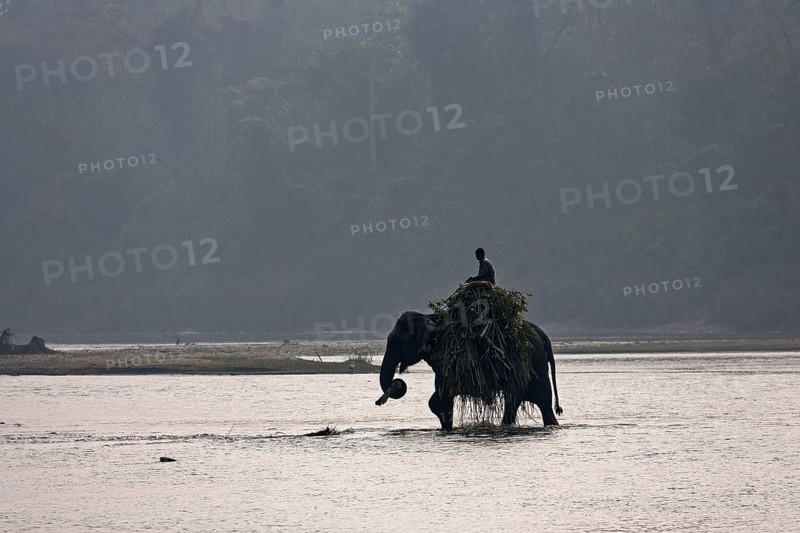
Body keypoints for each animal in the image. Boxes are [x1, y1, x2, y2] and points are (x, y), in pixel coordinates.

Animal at [376, 311, 562, 430]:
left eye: (396, 342)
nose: (379, 402)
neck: (428, 317)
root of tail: (544, 337)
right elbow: (436, 399)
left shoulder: (448, 358)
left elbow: (441, 398)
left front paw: (447, 427)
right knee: (516, 401)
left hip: (534, 365)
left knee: (542, 403)